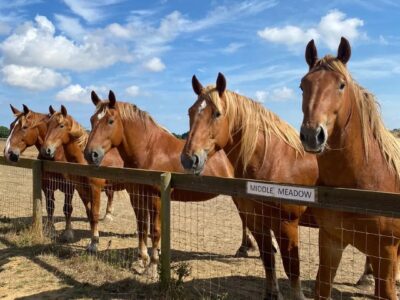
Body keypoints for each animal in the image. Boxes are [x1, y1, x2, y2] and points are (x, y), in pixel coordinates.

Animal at [41, 105, 125, 251]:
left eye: (61, 125)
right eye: (48, 125)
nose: (46, 150)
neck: (85, 161)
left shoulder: (95, 189)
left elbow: (95, 214)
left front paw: (94, 243)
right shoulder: (82, 191)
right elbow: (89, 214)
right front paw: (92, 239)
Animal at [83, 91, 256, 276]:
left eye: (110, 121)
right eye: (92, 119)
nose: (90, 154)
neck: (150, 150)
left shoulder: (156, 198)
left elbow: (155, 231)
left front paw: (152, 267)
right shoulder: (137, 196)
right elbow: (142, 226)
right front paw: (142, 260)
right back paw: (245, 248)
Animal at [181, 73, 318, 300]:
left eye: (217, 113)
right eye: (190, 112)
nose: (189, 159)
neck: (275, 160)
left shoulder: (287, 225)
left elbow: (292, 267)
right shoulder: (257, 220)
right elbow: (268, 258)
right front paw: (272, 294)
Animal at [300, 37, 400, 300]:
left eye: (341, 85)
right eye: (303, 86)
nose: (312, 135)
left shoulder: (386, 250)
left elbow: (386, 292)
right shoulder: (331, 240)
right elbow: (322, 287)